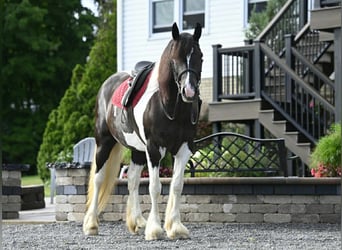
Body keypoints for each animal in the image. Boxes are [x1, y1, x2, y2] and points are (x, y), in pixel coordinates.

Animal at [83, 23, 203, 240]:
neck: (168, 104)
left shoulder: (184, 148)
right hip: (104, 143)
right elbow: (155, 187)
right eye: (175, 59)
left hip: (138, 150)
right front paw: (155, 229)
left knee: (132, 179)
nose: (189, 92)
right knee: (98, 179)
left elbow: (177, 185)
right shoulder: (154, 149)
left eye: (200, 56)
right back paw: (91, 225)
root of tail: (107, 84)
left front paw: (175, 227)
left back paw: (138, 222)